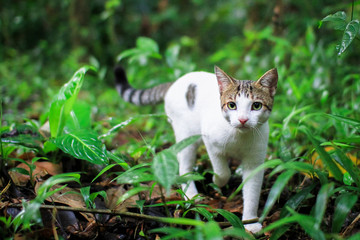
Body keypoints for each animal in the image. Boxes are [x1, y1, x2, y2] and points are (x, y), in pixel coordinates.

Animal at [115, 65, 278, 232]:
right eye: (232, 105)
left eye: (256, 106)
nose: (243, 120)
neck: (239, 136)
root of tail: (175, 82)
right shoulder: (210, 142)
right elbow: (222, 172)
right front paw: (217, 181)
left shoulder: (255, 159)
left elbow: (252, 191)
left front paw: (251, 222)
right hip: (186, 135)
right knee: (184, 166)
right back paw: (193, 195)